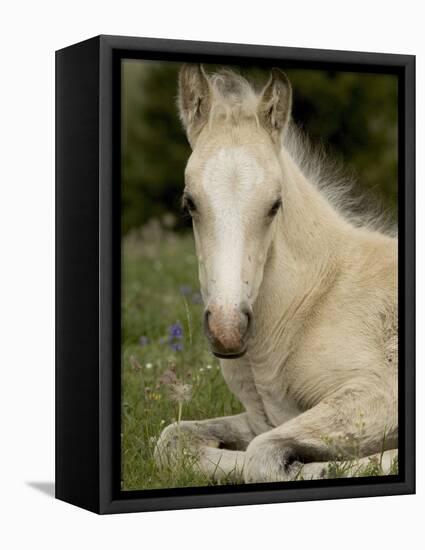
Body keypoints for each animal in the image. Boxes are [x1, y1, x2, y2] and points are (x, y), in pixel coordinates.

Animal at [153, 64, 398, 484]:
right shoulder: (264, 416)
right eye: (190, 203)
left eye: (274, 204)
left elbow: (262, 456)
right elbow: (173, 440)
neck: (312, 304)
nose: (228, 329)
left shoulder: (377, 393)